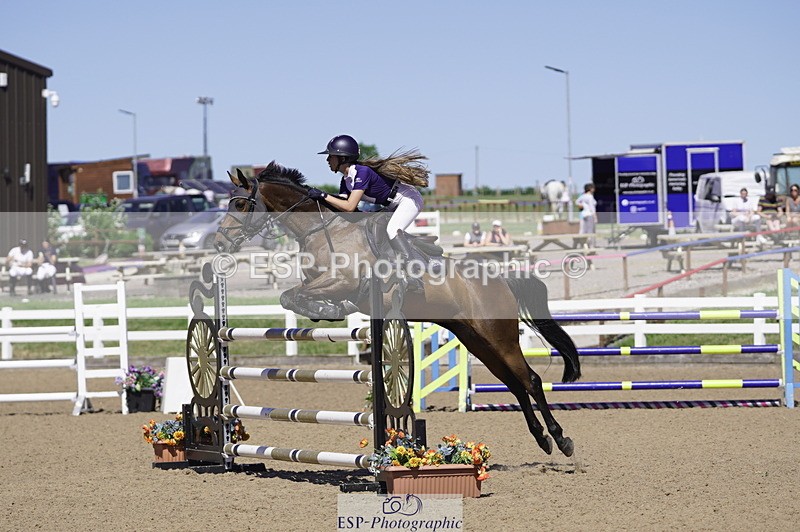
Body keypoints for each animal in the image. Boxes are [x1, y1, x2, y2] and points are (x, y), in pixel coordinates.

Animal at [214, 163, 581, 458]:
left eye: (239, 203)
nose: (219, 243)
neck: (324, 231)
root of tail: (501, 279)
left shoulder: (341, 281)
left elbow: (293, 296)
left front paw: (328, 307)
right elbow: (291, 297)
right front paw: (324, 310)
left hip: (498, 336)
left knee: (530, 381)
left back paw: (562, 440)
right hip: (477, 339)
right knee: (515, 385)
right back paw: (542, 439)